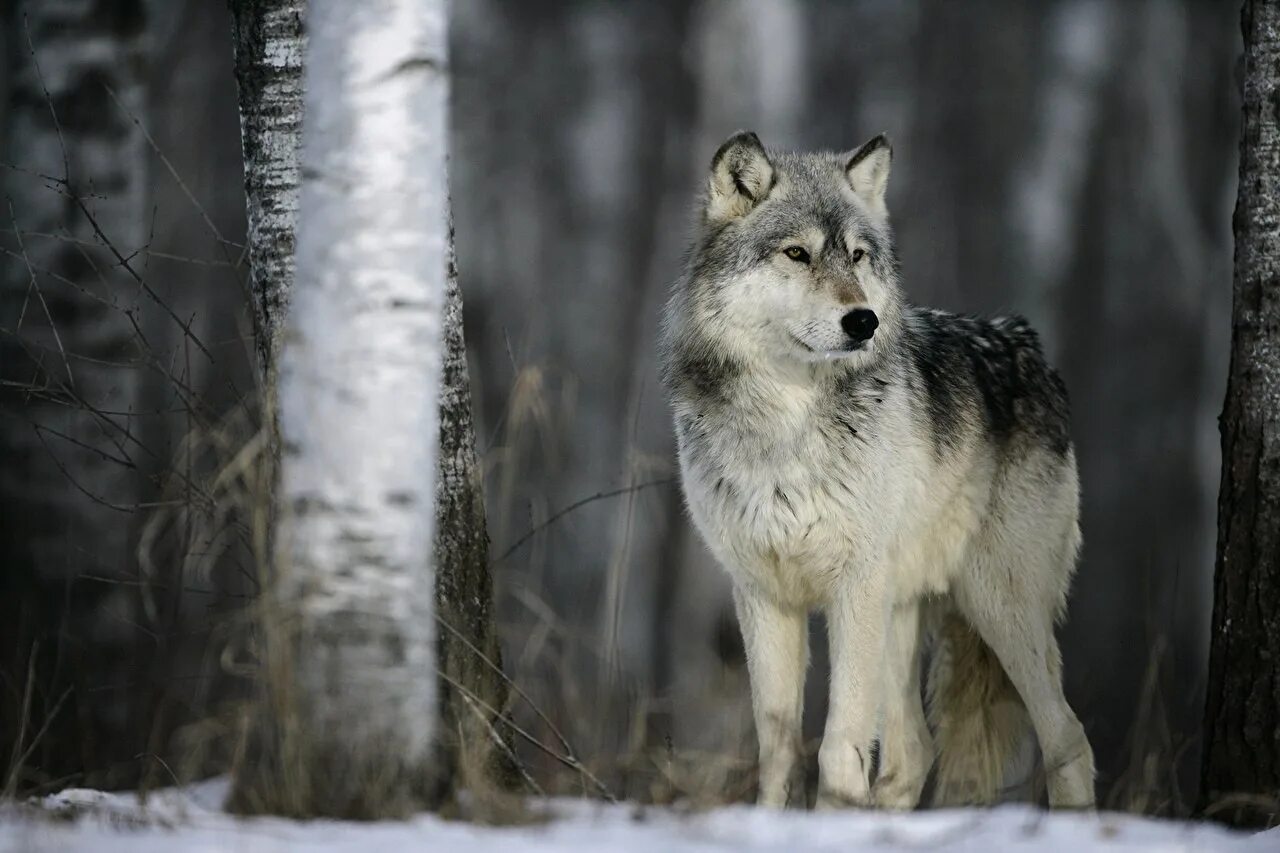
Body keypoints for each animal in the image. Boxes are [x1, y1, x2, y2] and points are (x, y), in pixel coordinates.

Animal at [665, 129, 1095, 809]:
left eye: (859, 256)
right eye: (797, 254)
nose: (863, 320)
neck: (788, 424)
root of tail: (1030, 347)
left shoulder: (853, 587)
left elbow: (839, 743)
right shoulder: (763, 594)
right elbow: (778, 746)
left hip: (996, 604)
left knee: (1068, 737)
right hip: (901, 611)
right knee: (913, 752)